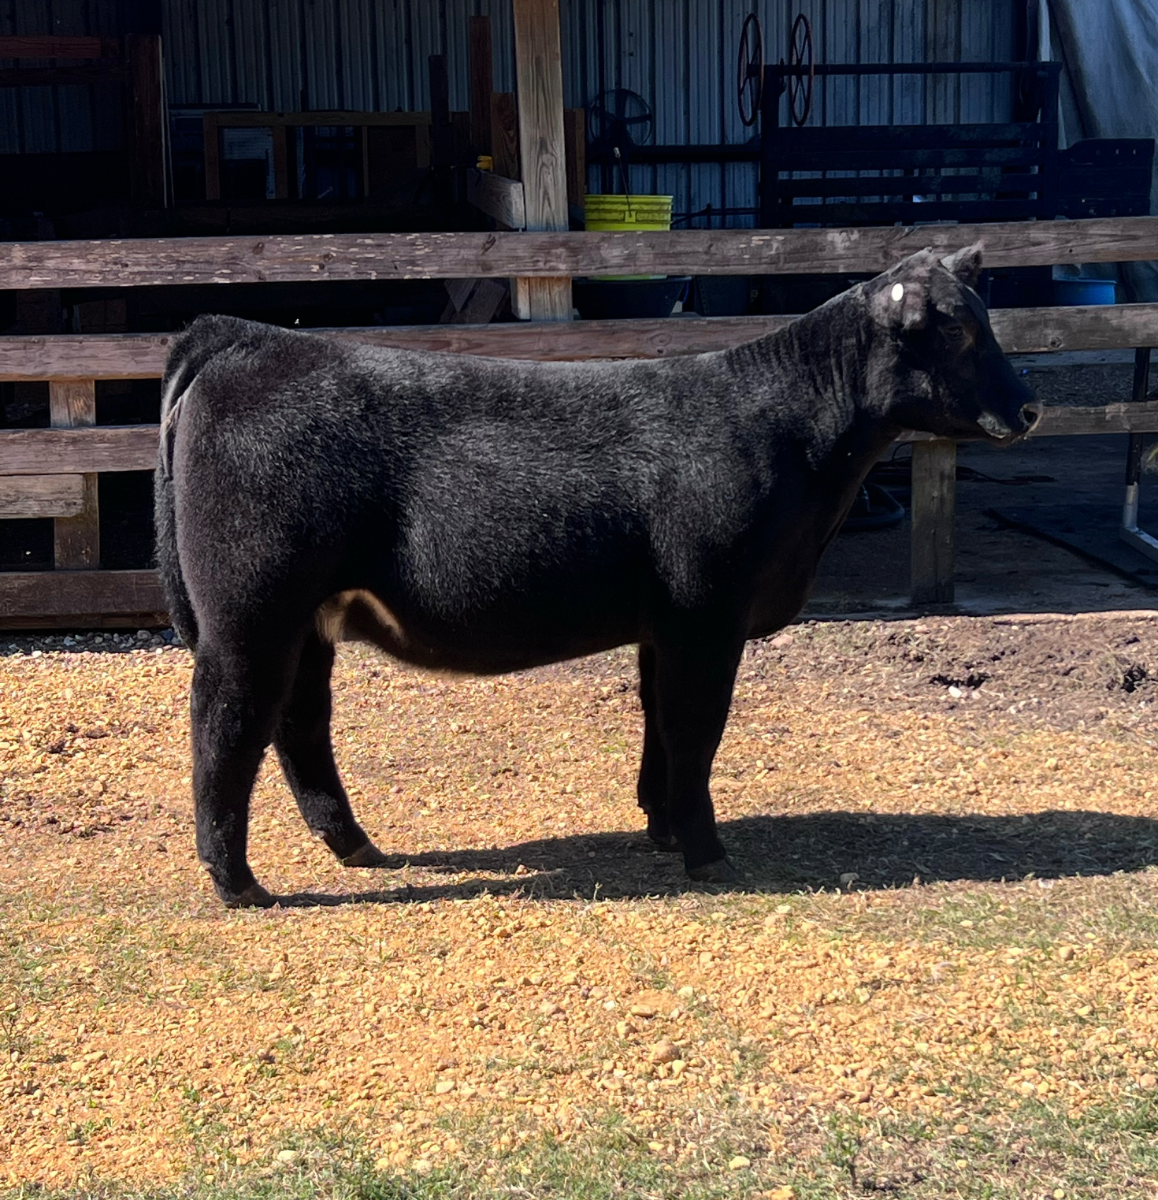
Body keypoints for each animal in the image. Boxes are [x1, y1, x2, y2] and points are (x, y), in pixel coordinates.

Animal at [154, 245, 1036, 908]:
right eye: (961, 332)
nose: (1029, 410)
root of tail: (243, 334)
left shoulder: (664, 626)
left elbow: (659, 725)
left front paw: (660, 826)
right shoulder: (706, 618)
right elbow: (696, 730)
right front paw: (706, 851)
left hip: (304, 619)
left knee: (299, 723)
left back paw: (356, 846)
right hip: (250, 614)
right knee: (226, 723)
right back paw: (240, 883)